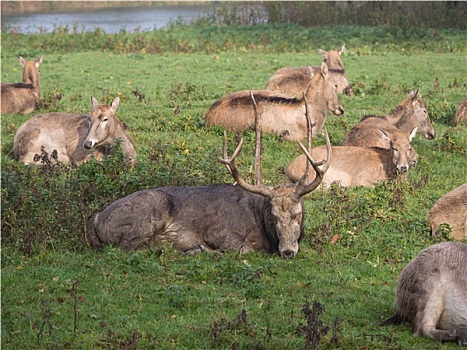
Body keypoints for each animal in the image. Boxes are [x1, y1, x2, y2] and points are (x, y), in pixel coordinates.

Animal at [88, 91, 332, 258]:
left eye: (298, 214)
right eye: (273, 215)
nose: (288, 251)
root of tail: (97, 218)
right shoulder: (220, 232)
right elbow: (243, 250)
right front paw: (200, 248)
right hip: (148, 216)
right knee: (127, 247)